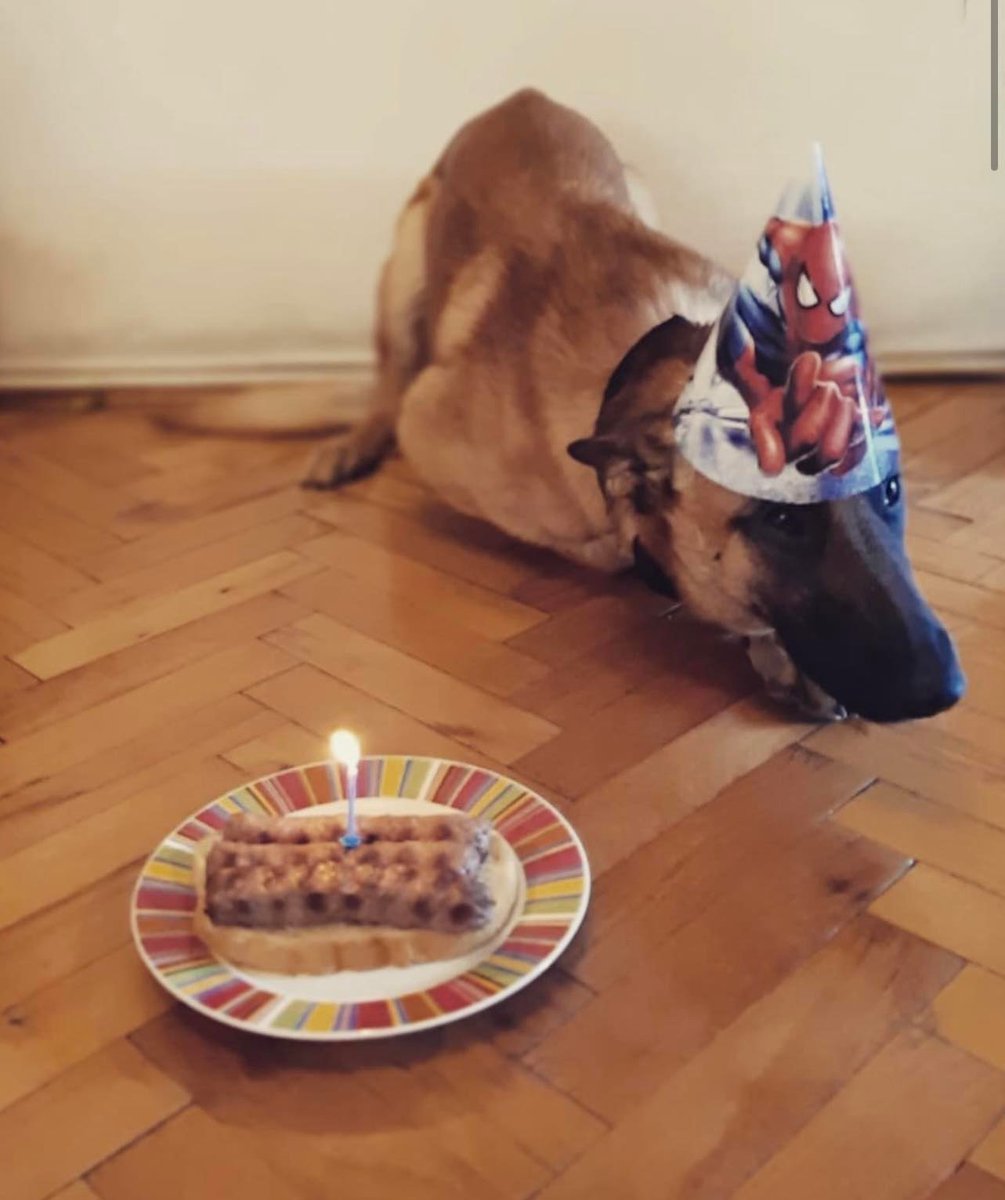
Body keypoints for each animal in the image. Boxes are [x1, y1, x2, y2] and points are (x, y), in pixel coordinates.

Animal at [183, 91, 969, 720]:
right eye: (780, 521)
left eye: (891, 492)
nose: (948, 689)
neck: (649, 359)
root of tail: (518, 97)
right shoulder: (430, 426)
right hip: (402, 268)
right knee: (384, 381)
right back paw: (353, 441)